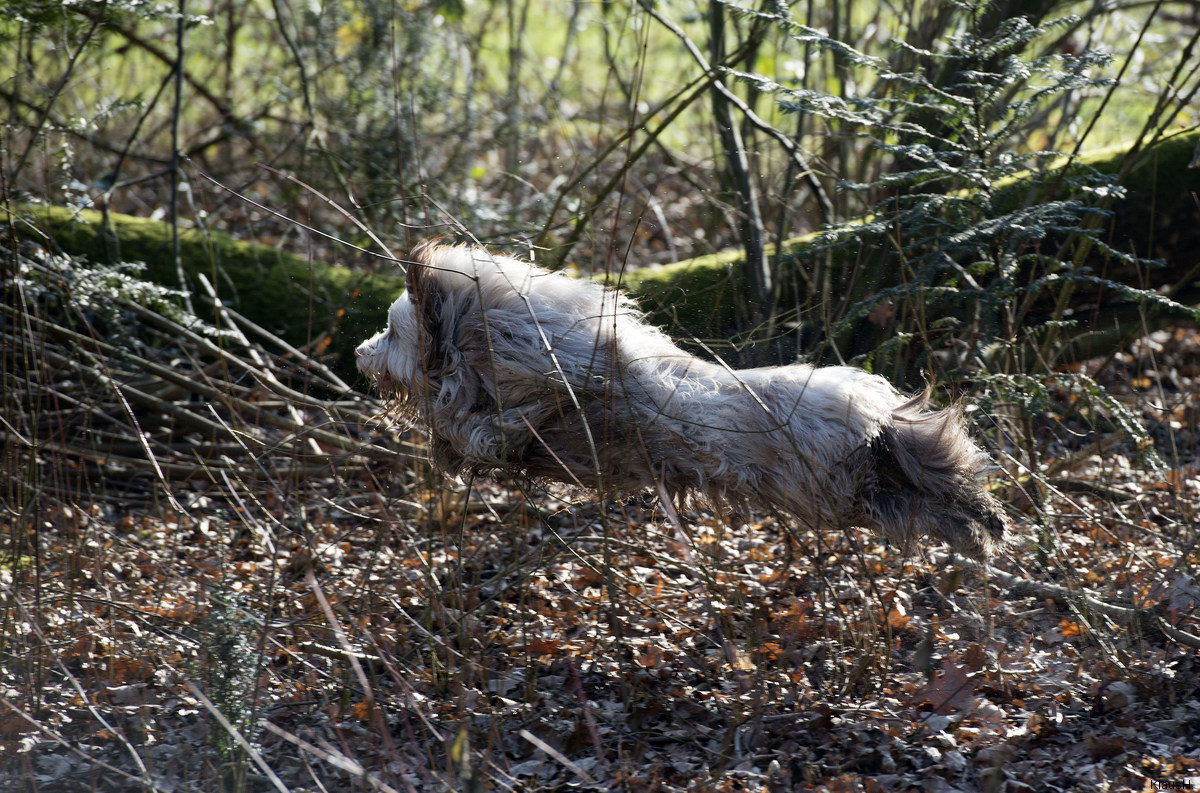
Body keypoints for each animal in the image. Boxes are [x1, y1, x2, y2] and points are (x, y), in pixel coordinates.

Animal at [357, 241, 1012, 556]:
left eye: (389, 330)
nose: (360, 353)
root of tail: (874, 413)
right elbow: (465, 426)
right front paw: (451, 439)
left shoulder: (553, 377)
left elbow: (493, 421)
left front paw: (472, 430)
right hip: (854, 493)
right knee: (931, 483)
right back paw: (987, 522)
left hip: (838, 486)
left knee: (934, 484)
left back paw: (984, 520)